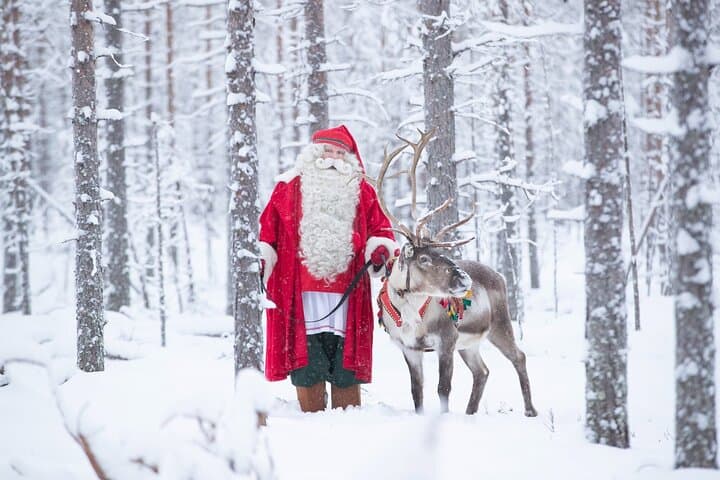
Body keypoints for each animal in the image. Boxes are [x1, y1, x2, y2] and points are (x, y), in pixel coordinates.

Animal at [373, 130, 537, 417]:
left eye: (442, 253)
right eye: (424, 258)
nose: (464, 279)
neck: (411, 313)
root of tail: (500, 276)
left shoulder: (446, 340)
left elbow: (443, 388)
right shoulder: (409, 348)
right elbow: (417, 391)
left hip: (499, 324)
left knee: (519, 356)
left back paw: (530, 410)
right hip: (470, 344)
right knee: (482, 371)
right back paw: (471, 412)